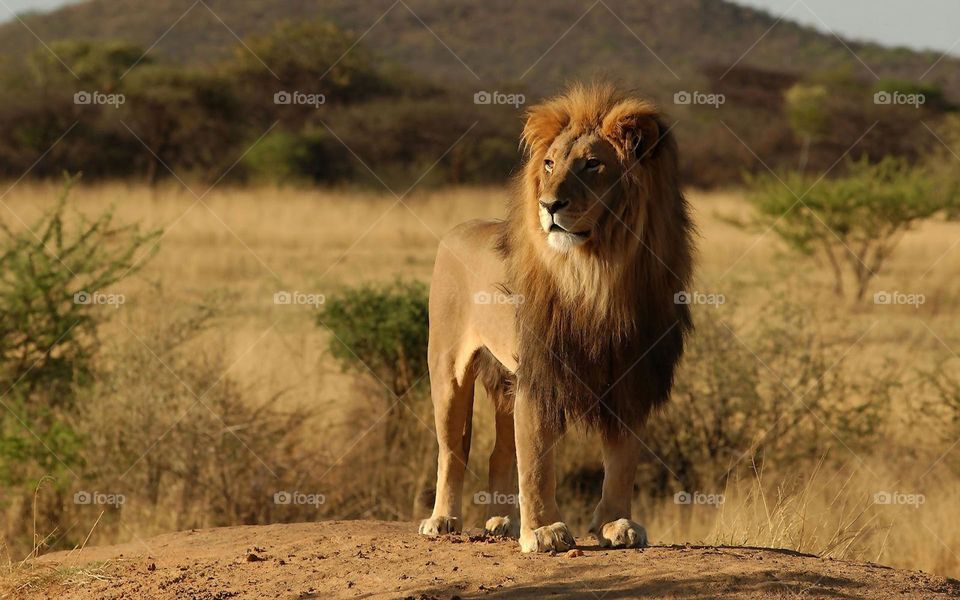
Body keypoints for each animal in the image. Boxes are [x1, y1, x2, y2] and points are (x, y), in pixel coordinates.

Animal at [418, 82, 694, 552]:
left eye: (592, 164)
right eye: (549, 164)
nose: (549, 205)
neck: (597, 272)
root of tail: (457, 229)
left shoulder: (630, 373)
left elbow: (622, 459)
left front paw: (616, 524)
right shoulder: (541, 373)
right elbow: (537, 461)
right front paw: (544, 531)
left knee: (498, 451)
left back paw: (502, 521)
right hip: (448, 369)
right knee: (452, 449)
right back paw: (443, 520)